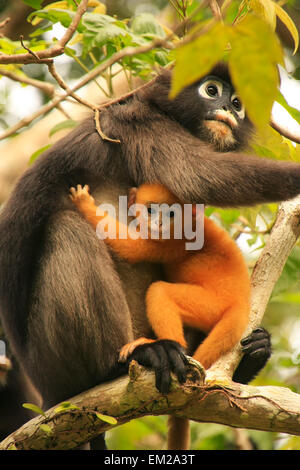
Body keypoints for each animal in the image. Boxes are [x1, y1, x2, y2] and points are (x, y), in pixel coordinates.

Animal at [71, 183, 251, 370]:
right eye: (150, 210)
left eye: (171, 213)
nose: (159, 223)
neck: (190, 222)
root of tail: (241, 302)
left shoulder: (173, 242)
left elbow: (130, 247)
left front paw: (84, 203)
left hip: (211, 305)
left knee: (159, 292)